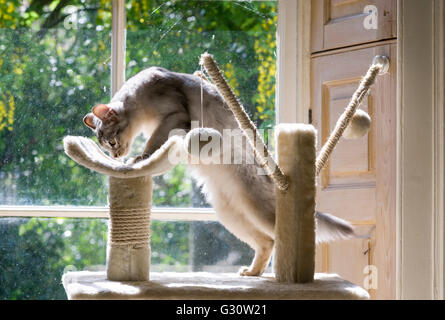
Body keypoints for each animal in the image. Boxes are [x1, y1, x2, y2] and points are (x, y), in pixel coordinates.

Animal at [82, 66, 354, 276]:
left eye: (111, 142)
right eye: (105, 147)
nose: (115, 157)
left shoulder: (174, 117)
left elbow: (154, 143)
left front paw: (141, 158)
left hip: (257, 208)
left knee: (287, 236)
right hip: (228, 213)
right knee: (266, 242)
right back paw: (253, 273)